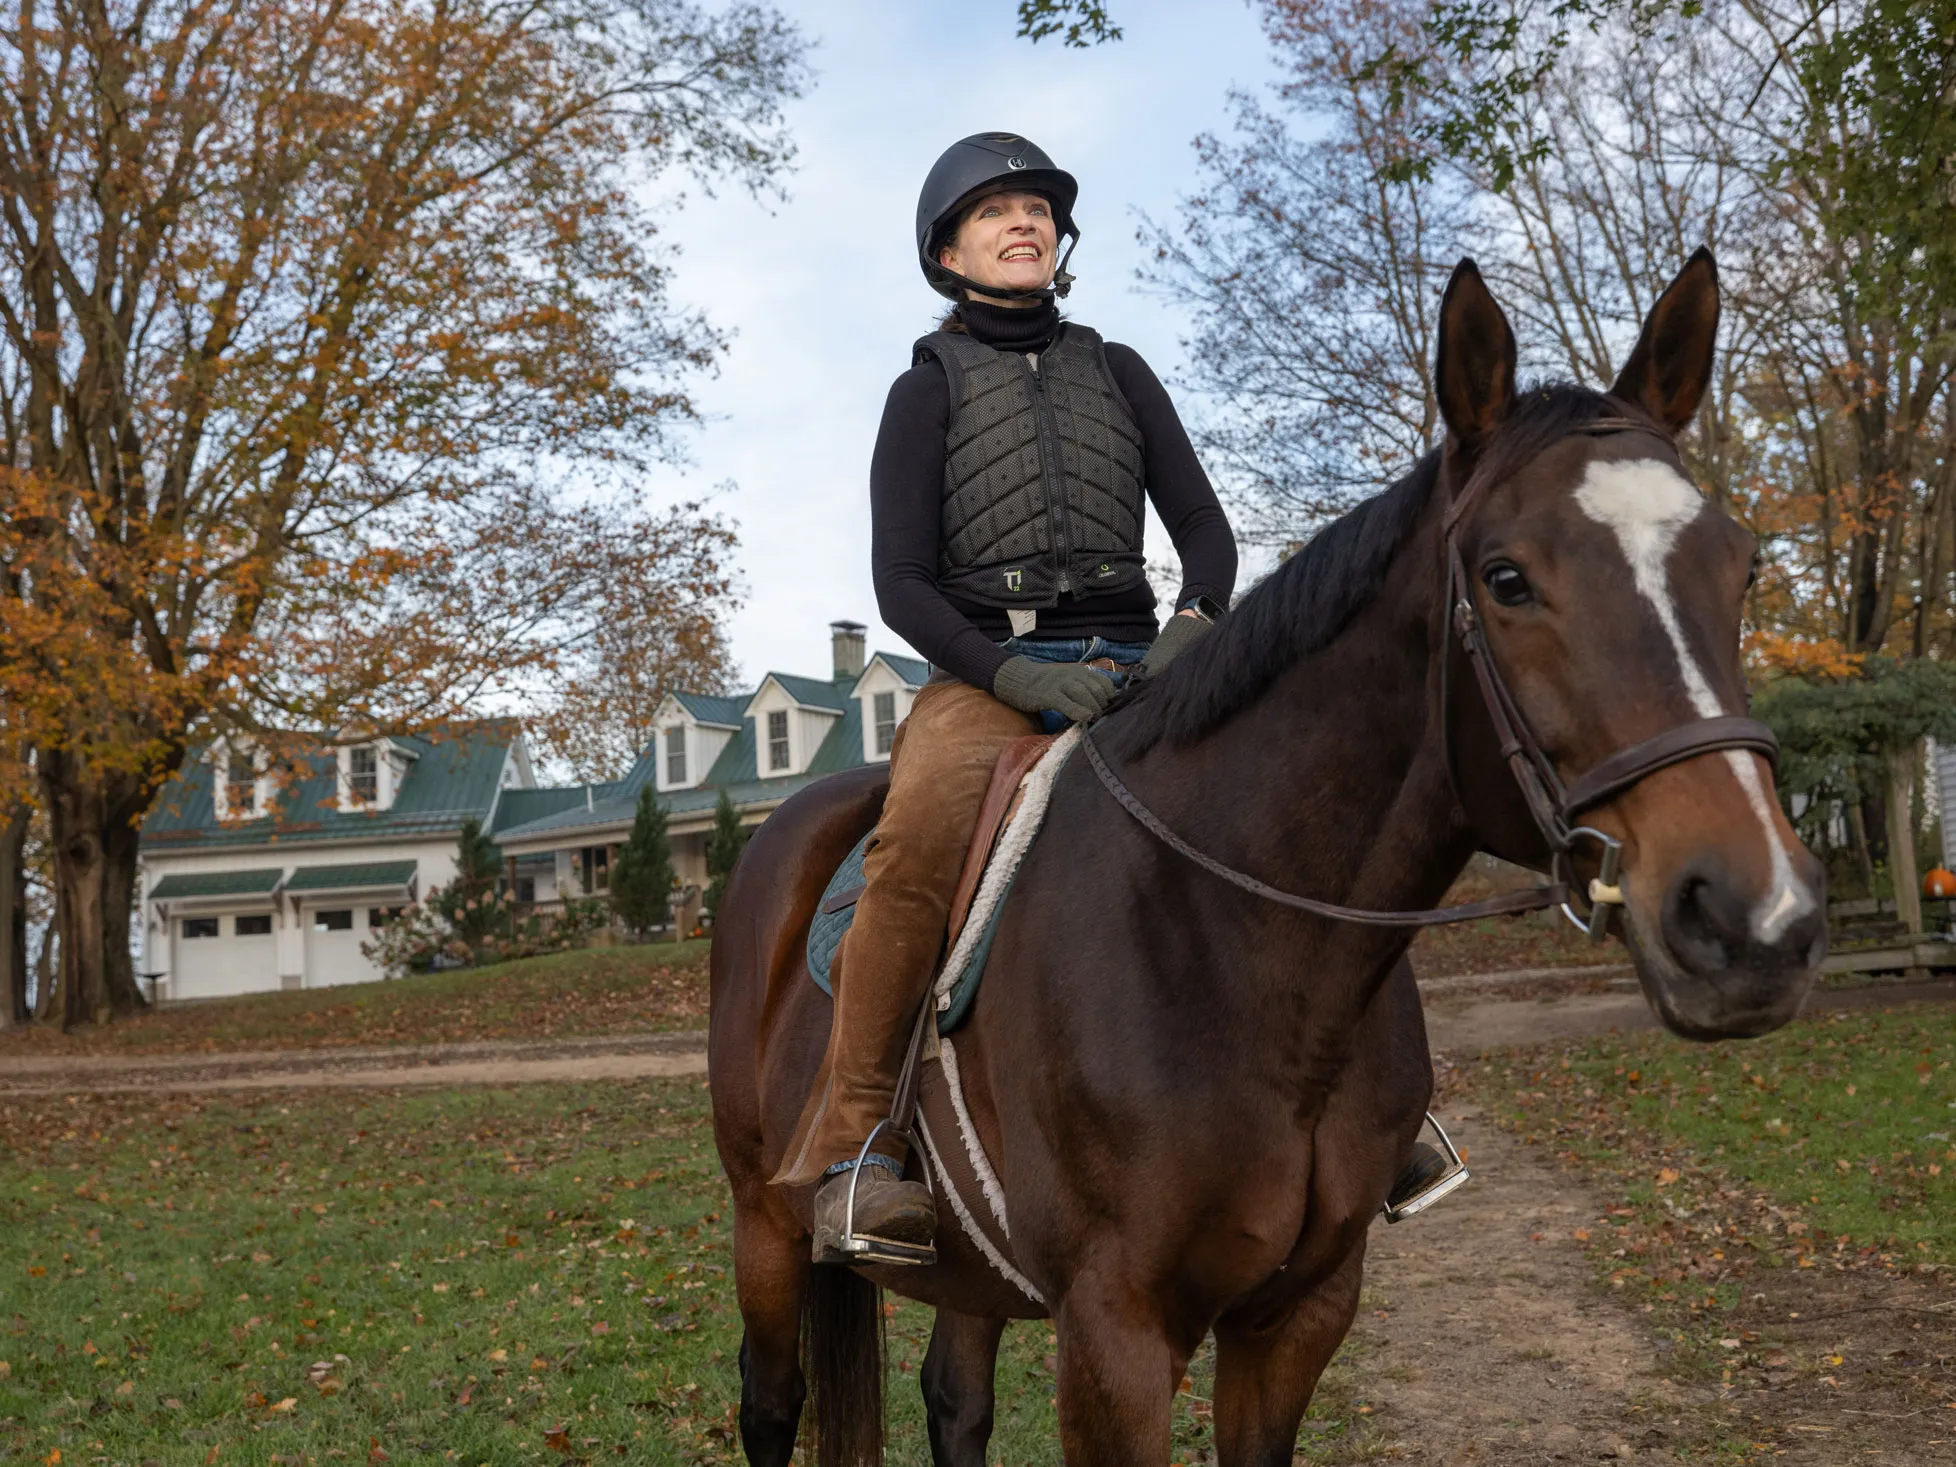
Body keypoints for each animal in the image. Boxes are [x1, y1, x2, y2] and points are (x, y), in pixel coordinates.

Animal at [707, 249, 1825, 1466]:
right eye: (1506, 578)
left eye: (1743, 568)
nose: (1753, 923)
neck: (1239, 954)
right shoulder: (1114, 1336)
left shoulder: (1300, 1314)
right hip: (765, 1223)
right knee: (771, 1405)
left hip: (969, 1271)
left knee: (955, 1402)